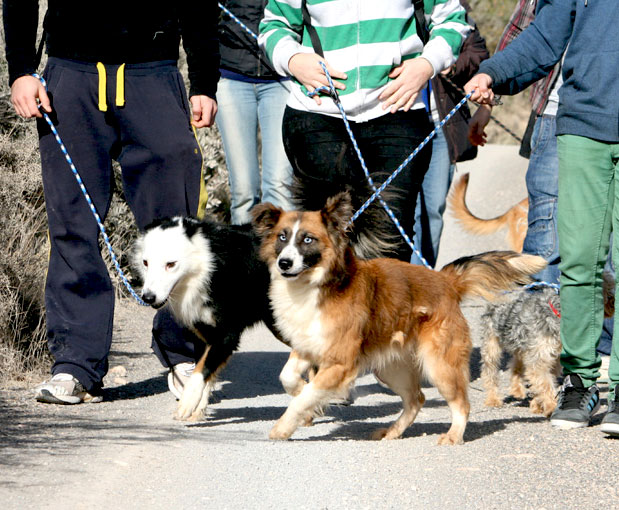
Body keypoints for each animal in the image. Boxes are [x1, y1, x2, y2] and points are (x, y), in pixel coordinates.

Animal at [251, 192, 547, 444]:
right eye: (282, 237)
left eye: (307, 239)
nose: (284, 263)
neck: (320, 284)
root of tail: (446, 281)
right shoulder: (308, 344)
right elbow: (288, 378)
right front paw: (303, 393)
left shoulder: (339, 362)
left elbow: (306, 396)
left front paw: (285, 425)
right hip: (391, 367)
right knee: (416, 399)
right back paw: (393, 431)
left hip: (440, 364)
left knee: (461, 403)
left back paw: (454, 435)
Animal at [480, 272, 615, 417]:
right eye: (605, 290)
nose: (613, 301)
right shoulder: (540, 357)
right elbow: (544, 383)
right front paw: (551, 406)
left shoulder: (553, 359)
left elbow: (542, 382)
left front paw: (537, 405)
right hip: (492, 344)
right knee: (489, 372)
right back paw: (493, 399)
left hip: (521, 345)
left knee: (516, 365)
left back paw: (517, 390)